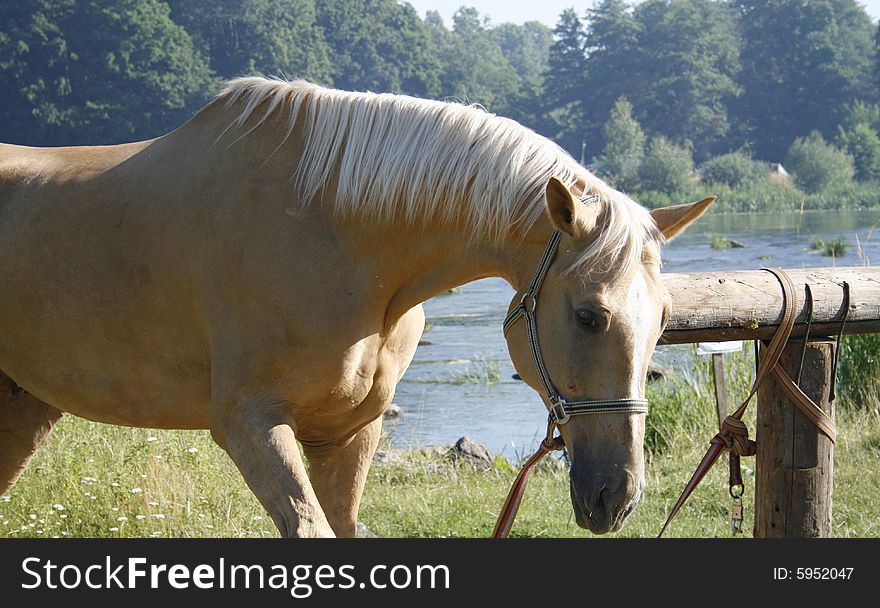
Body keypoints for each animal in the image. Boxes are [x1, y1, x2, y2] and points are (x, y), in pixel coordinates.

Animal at [0, 76, 712, 536]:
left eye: (664, 323)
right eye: (590, 315)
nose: (617, 498)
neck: (332, 232)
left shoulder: (350, 431)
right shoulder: (250, 426)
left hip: (24, 405)